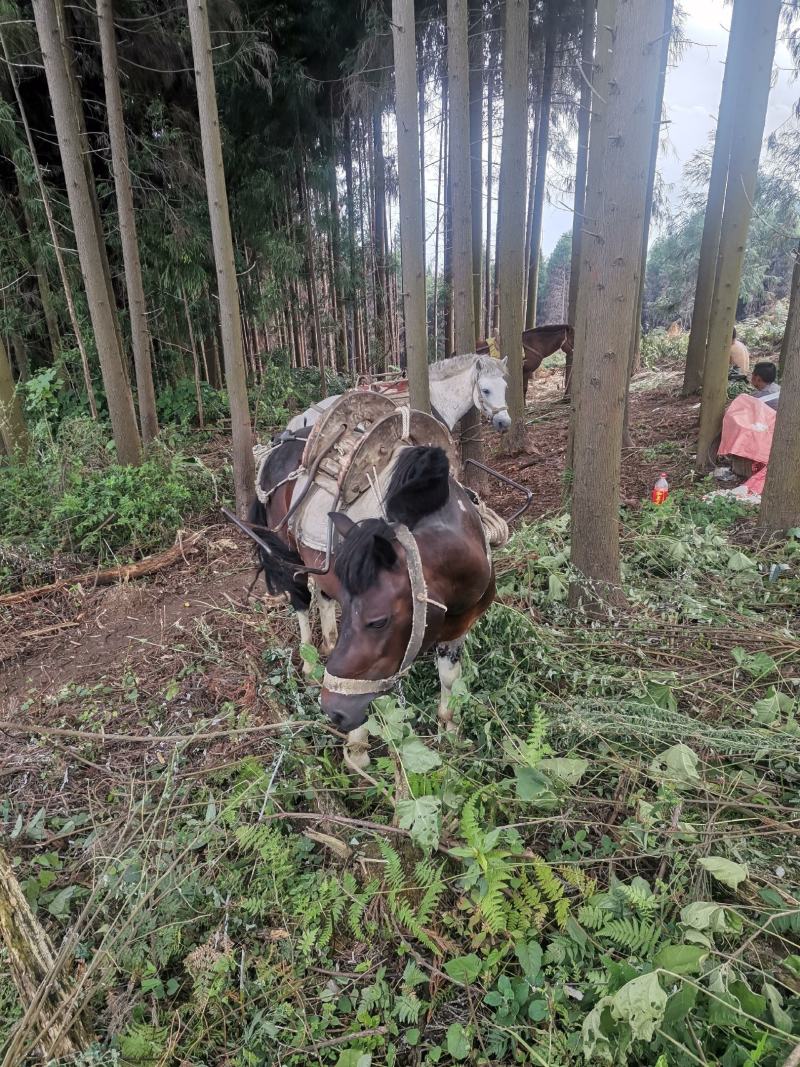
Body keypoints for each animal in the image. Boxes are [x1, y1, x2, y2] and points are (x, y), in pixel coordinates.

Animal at [247, 441, 495, 770]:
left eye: (378, 621)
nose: (333, 710)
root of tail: (281, 445)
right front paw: (357, 749)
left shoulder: (457, 632)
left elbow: (449, 681)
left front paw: (450, 731)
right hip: (288, 553)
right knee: (300, 600)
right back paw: (310, 663)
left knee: (323, 598)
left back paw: (328, 643)